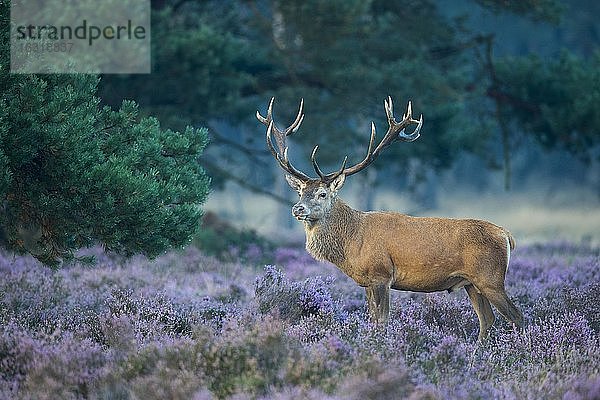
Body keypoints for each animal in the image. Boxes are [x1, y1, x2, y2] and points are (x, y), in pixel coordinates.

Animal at [255, 96, 524, 340]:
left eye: (322, 193)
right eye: (300, 191)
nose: (297, 209)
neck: (352, 242)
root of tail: (506, 235)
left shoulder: (381, 273)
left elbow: (382, 321)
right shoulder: (366, 281)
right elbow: (371, 319)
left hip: (490, 277)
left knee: (516, 316)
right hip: (471, 283)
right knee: (487, 319)